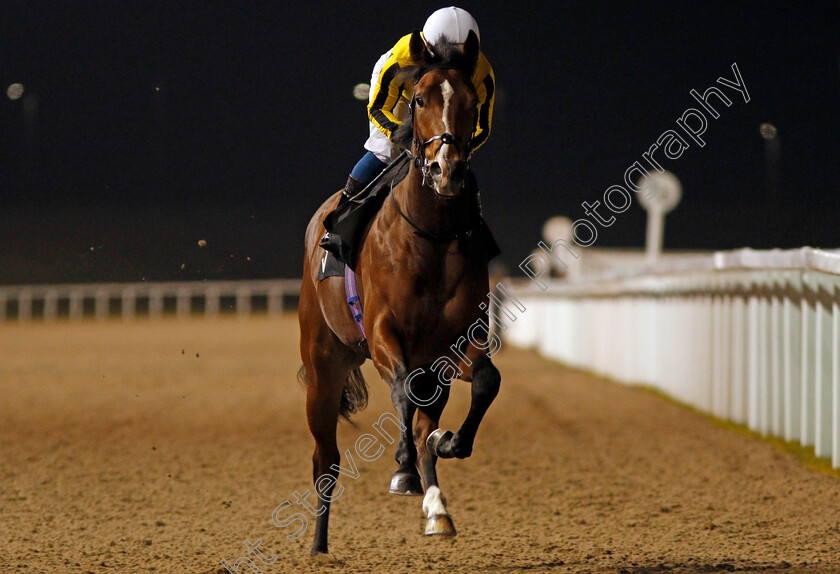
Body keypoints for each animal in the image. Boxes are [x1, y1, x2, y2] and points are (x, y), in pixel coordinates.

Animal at [298, 31, 502, 560]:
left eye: (471, 102)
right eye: (419, 99)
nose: (446, 170)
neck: (431, 236)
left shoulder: (454, 345)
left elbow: (485, 383)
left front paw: (447, 445)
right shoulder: (384, 333)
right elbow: (402, 392)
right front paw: (404, 469)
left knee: (422, 419)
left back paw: (437, 509)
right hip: (323, 366)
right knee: (325, 458)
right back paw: (319, 545)